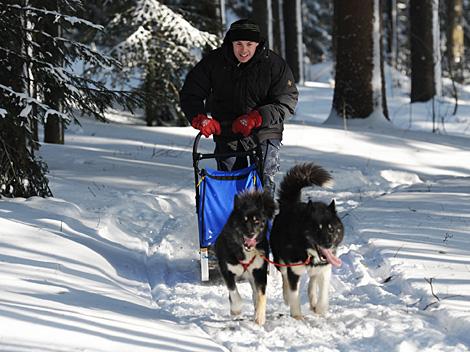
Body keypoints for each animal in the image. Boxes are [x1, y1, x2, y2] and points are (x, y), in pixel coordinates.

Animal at [216, 190, 278, 324]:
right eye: (244, 220)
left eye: (256, 221)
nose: (251, 233)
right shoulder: (226, 271)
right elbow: (234, 293)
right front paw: (236, 310)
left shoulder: (260, 272)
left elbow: (261, 296)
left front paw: (260, 316)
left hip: (253, 275)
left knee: (255, 294)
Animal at [270, 164, 344, 320]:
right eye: (317, 229)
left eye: (331, 229)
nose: (328, 244)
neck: (308, 252)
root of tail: (291, 205)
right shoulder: (294, 270)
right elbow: (294, 293)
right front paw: (297, 316)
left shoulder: (325, 268)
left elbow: (323, 293)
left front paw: (320, 309)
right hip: (280, 260)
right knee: (285, 278)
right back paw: (287, 297)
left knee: (312, 281)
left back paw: (313, 301)